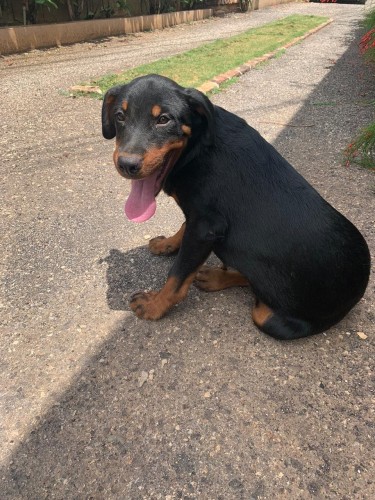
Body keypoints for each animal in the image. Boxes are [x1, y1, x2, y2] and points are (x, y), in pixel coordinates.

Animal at [101, 74, 372, 340]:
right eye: (120, 116)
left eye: (164, 120)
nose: (127, 164)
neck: (197, 147)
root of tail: (360, 289)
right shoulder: (200, 216)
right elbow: (183, 225)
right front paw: (167, 244)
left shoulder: (206, 226)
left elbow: (177, 276)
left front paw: (153, 306)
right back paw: (215, 276)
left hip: (272, 320)